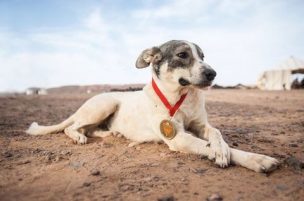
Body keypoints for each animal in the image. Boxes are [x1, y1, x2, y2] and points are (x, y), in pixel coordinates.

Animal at [27, 40, 280, 172]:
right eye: (182, 54)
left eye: (203, 56)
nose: (213, 74)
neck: (181, 96)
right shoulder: (178, 137)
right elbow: (207, 145)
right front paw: (257, 159)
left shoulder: (201, 124)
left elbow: (216, 133)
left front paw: (222, 149)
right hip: (105, 104)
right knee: (71, 127)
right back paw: (79, 136)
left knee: (89, 128)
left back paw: (110, 133)